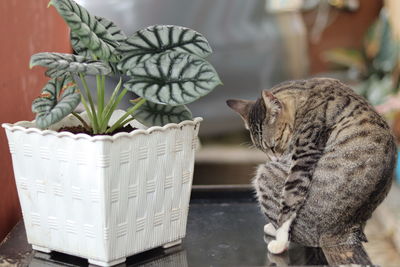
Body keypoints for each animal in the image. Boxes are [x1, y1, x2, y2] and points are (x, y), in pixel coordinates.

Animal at [227, 77, 396, 266]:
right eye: (263, 150)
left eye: (273, 146)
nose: (276, 160)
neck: (306, 94)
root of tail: (345, 231)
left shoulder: (305, 154)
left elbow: (289, 201)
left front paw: (280, 241)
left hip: (266, 174)